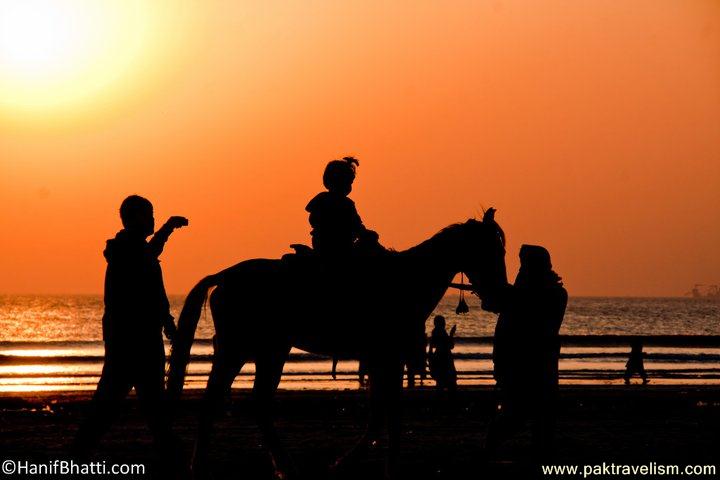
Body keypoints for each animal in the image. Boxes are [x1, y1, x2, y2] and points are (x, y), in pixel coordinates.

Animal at [167, 219, 506, 478]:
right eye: (493, 251)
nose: (499, 295)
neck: (404, 280)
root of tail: (224, 276)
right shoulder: (389, 356)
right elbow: (387, 413)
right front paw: (373, 465)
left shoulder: (381, 358)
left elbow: (380, 412)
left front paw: (359, 462)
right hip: (245, 349)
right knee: (226, 401)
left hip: (263, 351)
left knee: (246, 402)